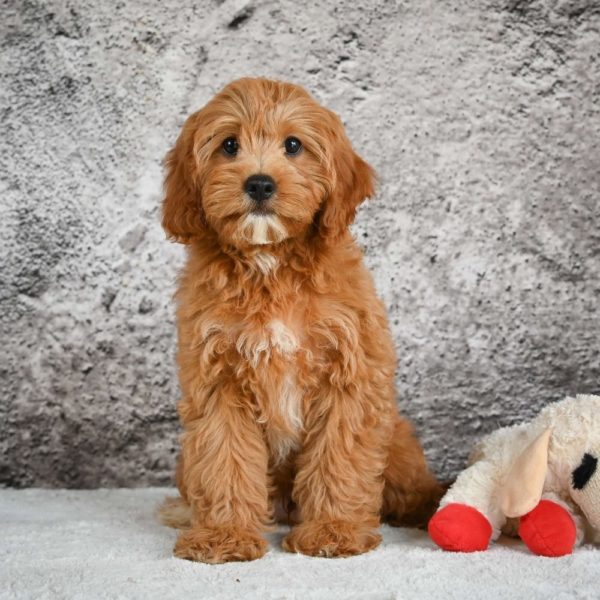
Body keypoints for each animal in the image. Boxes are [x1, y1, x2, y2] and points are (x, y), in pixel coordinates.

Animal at [158, 78, 440, 564]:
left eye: (293, 145)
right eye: (229, 145)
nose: (259, 183)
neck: (271, 265)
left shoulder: (348, 374)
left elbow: (339, 456)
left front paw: (333, 530)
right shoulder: (218, 380)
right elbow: (224, 458)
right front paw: (225, 534)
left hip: (398, 443)